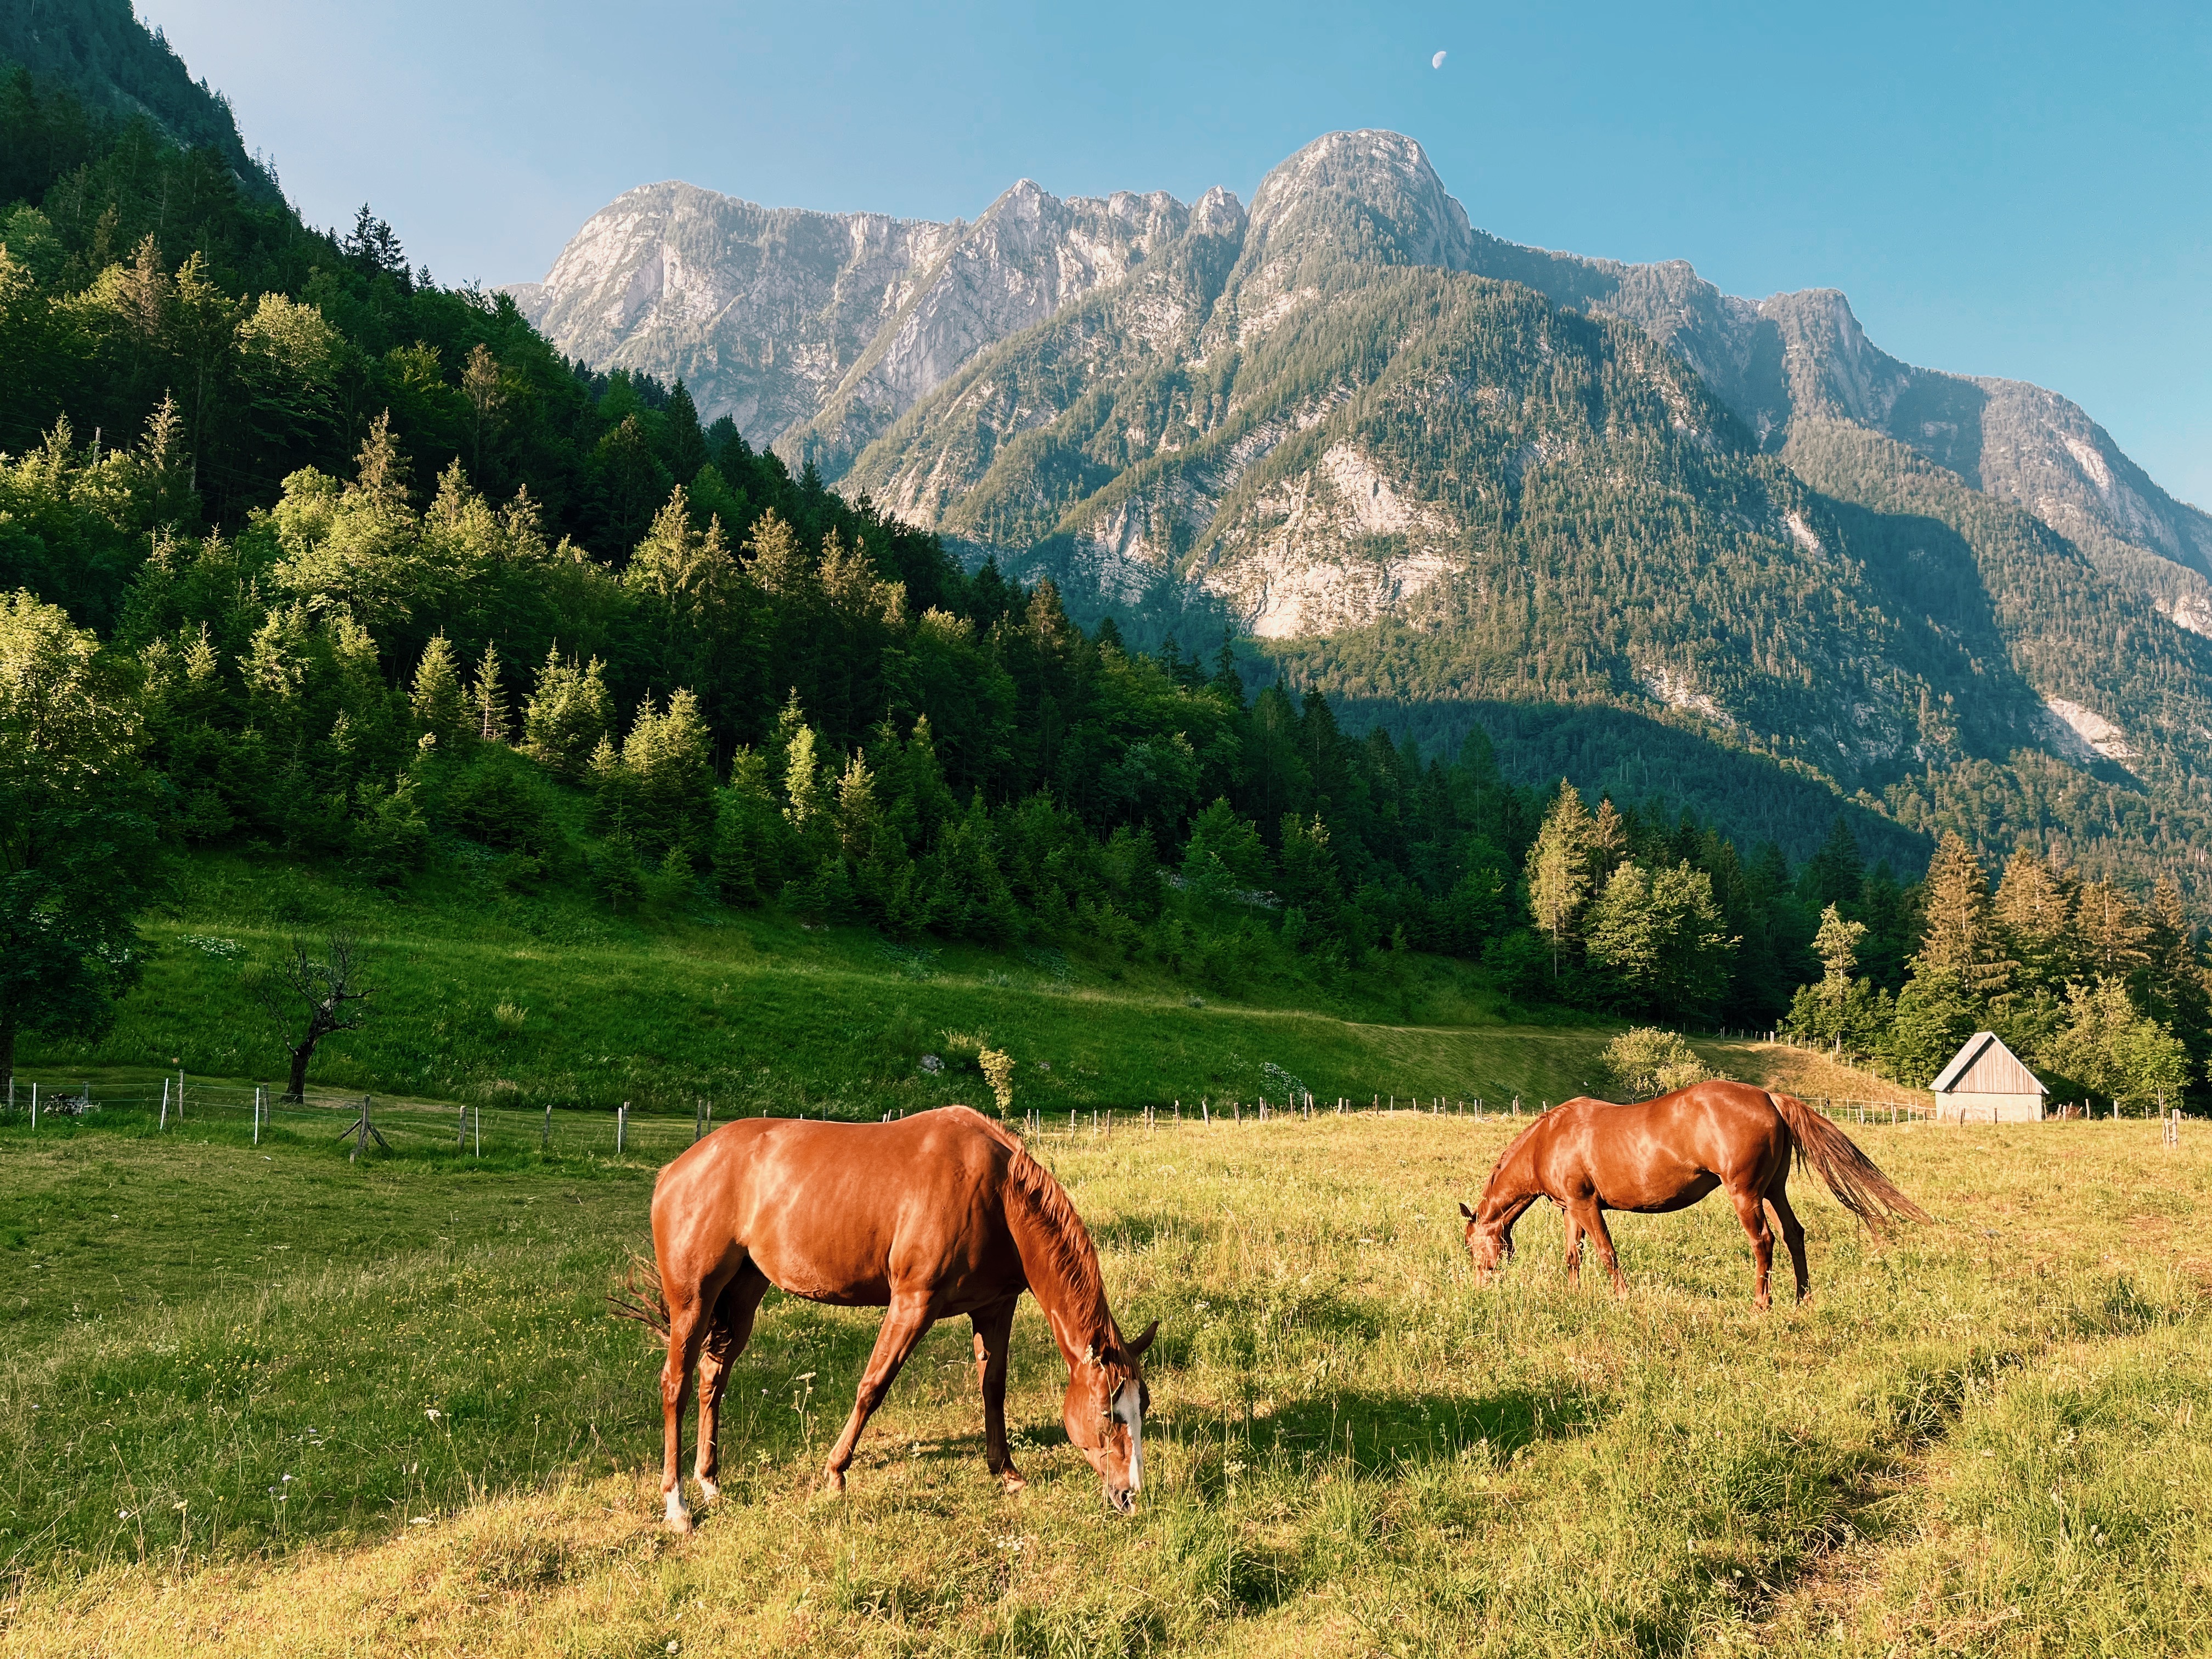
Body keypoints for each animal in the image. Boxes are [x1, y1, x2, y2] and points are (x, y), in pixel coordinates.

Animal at [610, 1106, 1159, 1531]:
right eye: (1109, 1414)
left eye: (1143, 1407)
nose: (1131, 1496)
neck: (997, 1195)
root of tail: (676, 1169)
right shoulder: (913, 1303)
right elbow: (873, 1386)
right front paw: (835, 1474)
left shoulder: (995, 1308)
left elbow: (994, 1388)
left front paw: (1006, 1472)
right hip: (694, 1301)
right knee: (676, 1384)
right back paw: (677, 1505)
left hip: (743, 1294)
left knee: (712, 1376)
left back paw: (710, 1482)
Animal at [1451, 1084, 1920, 1318]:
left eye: (1472, 1247)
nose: (1482, 1285)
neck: (1549, 1138)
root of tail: (1770, 1098)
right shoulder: (1571, 1209)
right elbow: (1574, 1256)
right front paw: (1573, 1295)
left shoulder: (1586, 1206)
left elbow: (1606, 1253)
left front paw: (1621, 1298)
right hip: (1774, 1189)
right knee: (1794, 1235)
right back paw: (1801, 1299)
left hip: (1745, 1194)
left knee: (1764, 1241)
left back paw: (1761, 1303)